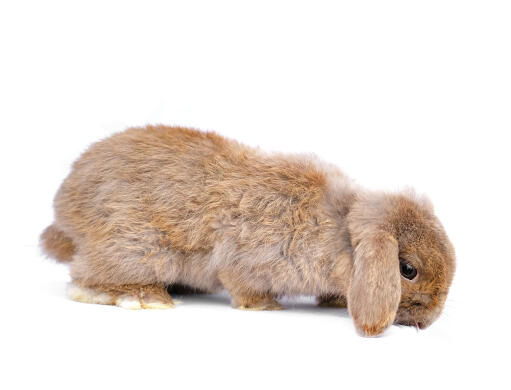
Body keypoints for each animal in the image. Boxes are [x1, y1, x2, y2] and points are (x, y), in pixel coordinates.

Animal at [40, 125, 456, 336]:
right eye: (408, 270)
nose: (429, 322)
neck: (340, 231)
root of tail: (64, 211)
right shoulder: (246, 256)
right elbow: (241, 284)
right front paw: (265, 306)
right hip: (140, 247)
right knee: (84, 278)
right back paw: (145, 298)